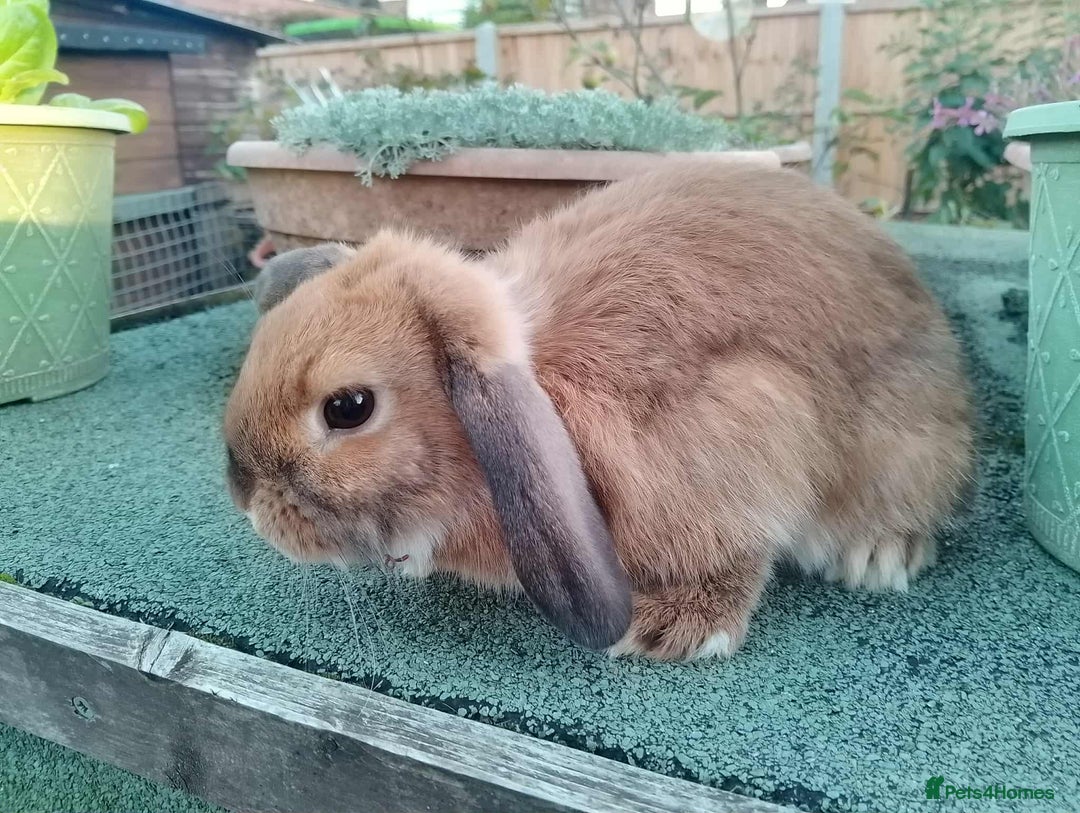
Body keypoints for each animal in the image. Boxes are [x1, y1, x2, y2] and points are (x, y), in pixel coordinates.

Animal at [223, 162, 974, 661]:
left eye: (349, 408)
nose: (245, 502)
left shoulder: (749, 429)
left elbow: (739, 552)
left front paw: (675, 630)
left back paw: (879, 555)